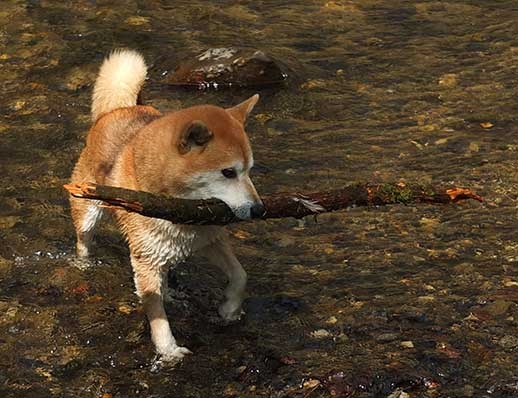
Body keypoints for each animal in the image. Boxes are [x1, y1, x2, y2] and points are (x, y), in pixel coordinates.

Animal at [70, 49, 264, 360]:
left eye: (249, 170)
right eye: (228, 172)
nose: (259, 209)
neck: (184, 211)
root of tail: (116, 111)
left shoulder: (210, 240)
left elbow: (240, 275)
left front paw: (229, 310)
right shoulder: (145, 262)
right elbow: (157, 315)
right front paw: (168, 351)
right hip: (87, 210)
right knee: (84, 240)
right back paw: (83, 263)